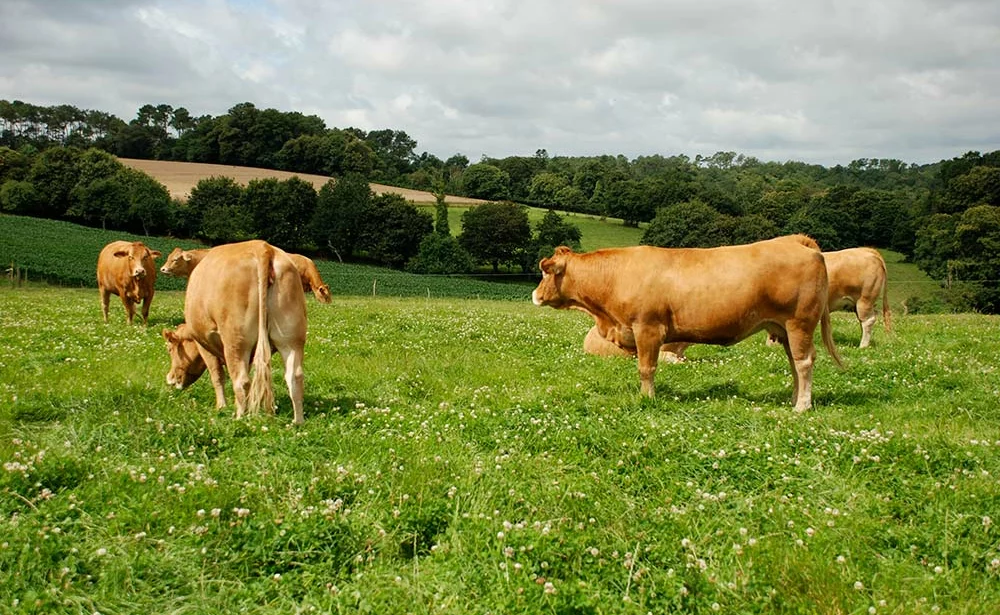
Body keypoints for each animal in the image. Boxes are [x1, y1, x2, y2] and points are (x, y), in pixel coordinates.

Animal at [160, 241, 306, 424]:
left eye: (169, 349)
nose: (170, 379)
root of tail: (262, 247)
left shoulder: (204, 345)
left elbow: (217, 376)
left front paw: (221, 407)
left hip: (235, 340)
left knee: (241, 381)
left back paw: (238, 418)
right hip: (291, 339)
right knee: (294, 376)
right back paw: (297, 422)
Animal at [532, 236, 844, 414]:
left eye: (545, 272)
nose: (535, 295)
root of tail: (800, 245)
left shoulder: (648, 329)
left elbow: (646, 369)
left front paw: (647, 398)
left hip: (799, 323)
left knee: (804, 363)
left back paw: (802, 406)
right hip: (784, 328)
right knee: (795, 362)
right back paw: (794, 399)